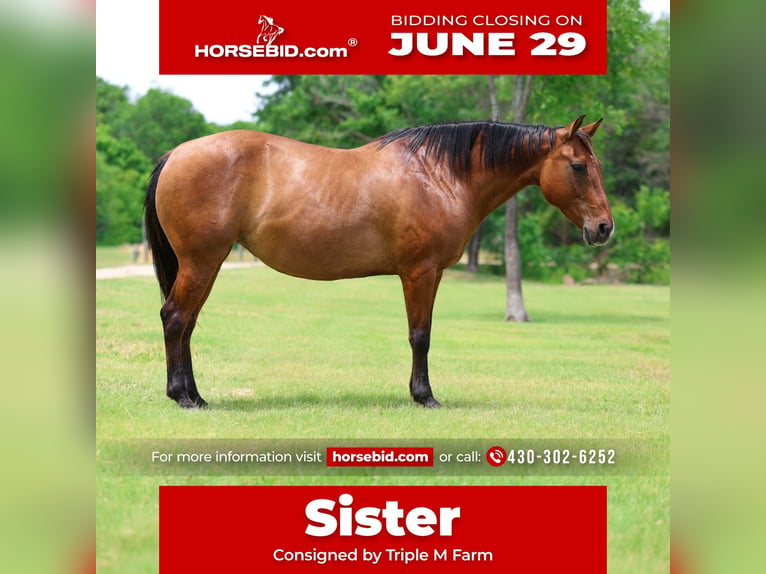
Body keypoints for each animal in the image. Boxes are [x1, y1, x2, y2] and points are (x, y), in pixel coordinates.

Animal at [144, 115, 613, 409]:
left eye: (597, 165)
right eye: (577, 166)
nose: (604, 228)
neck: (440, 174)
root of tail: (175, 155)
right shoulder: (421, 271)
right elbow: (420, 335)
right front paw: (425, 396)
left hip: (206, 264)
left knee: (186, 323)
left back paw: (196, 395)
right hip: (201, 261)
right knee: (175, 317)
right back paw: (182, 396)